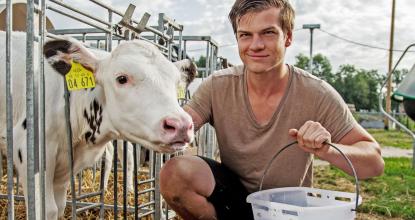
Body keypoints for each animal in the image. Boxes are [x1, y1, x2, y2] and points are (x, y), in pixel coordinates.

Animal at [0, 31, 197, 220]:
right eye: (121, 78)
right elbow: (47, 210)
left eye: (176, 83)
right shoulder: (29, 151)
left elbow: (59, 207)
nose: (180, 125)